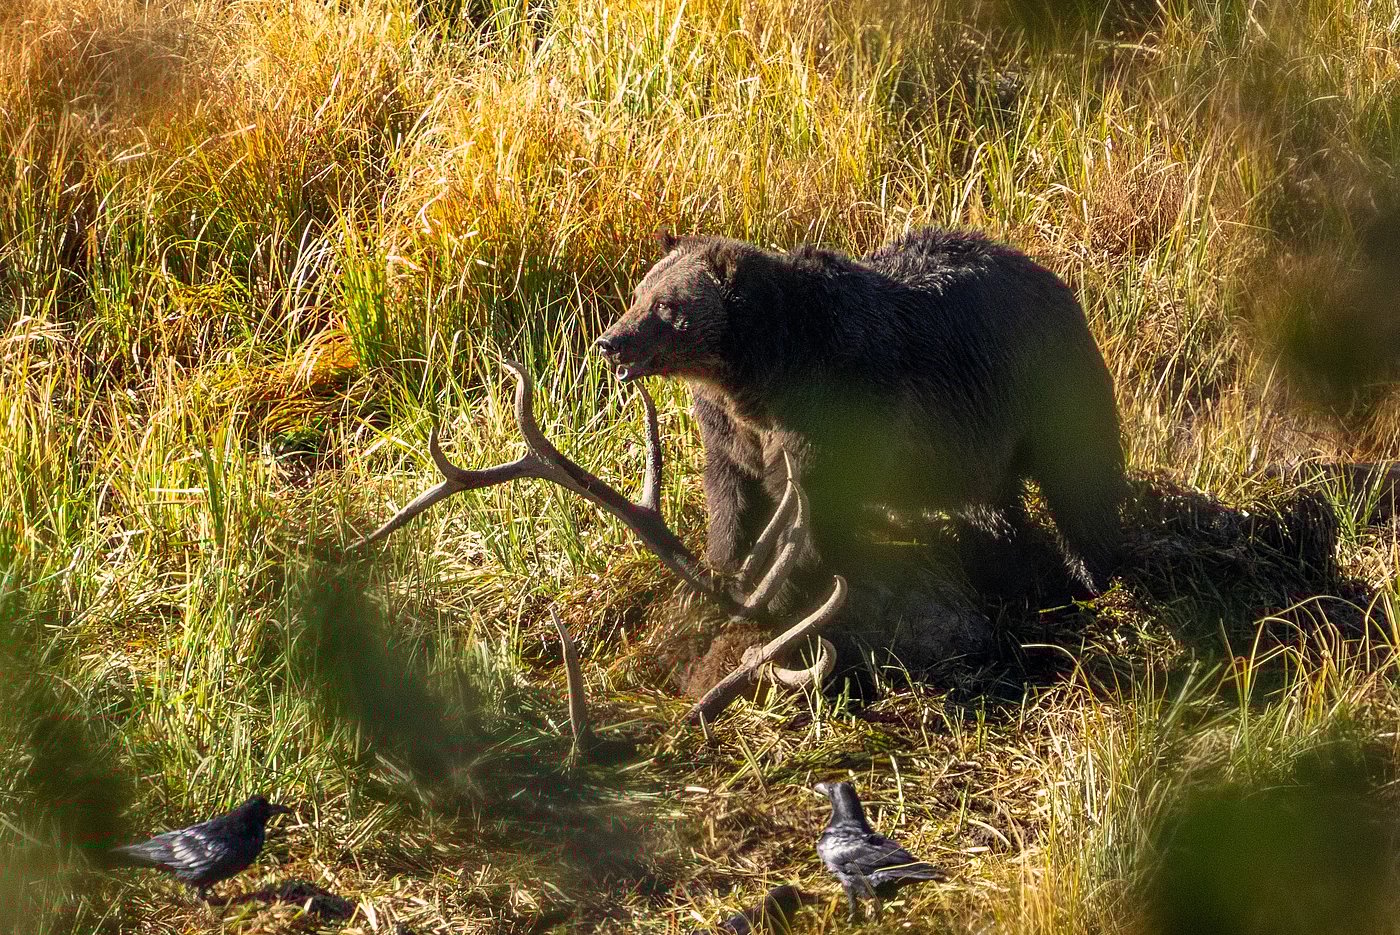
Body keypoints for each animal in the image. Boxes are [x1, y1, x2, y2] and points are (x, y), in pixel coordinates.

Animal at [595, 228, 1127, 597]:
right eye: (639, 293)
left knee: (1080, 480)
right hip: (978, 437)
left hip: (1045, 382)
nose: (610, 342)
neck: (754, 374)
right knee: (993, 503)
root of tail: (1051, 276)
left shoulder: (829, 410)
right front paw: (723, 566)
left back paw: (1090, 576)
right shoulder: (729, 429)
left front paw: (788, 592)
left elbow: (808, 511)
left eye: (667, 306)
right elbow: (732, 495)